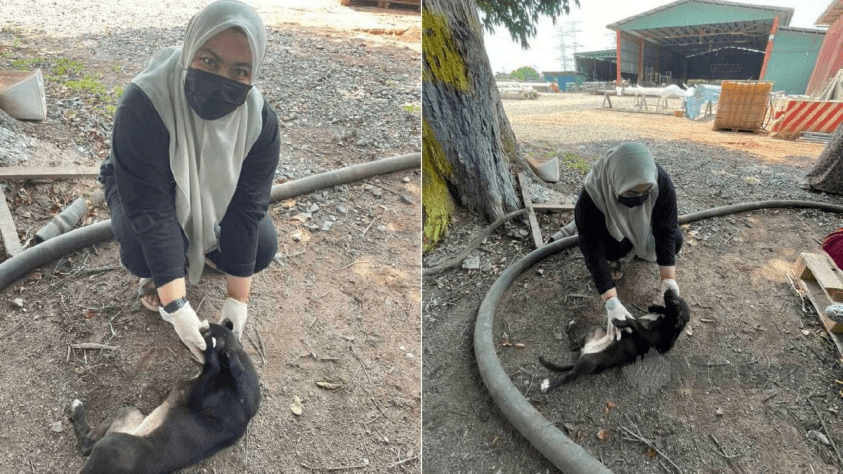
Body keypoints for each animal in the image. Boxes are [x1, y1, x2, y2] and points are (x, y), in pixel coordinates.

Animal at [69, 318, 260, 474]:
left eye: (205, 333)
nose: (189, 331)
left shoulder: (196, 394)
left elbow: (212, 365)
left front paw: (211, 348)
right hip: (128, 413)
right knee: (88, 441)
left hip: (112, 444)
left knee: (86, 444)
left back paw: (77, 409)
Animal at [540, 288, 692, 392]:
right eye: (677, 296)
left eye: (676, 301)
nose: (669, 289)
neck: (668, 323)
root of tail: (585, 352)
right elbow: (654, 311)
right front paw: (655, 306)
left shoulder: (650, 337)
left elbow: (634, 322)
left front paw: (620, 321)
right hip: (594, 330)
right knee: (574, 345)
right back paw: (571, 327)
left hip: (588, 362)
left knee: (570, 375)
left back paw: (549, 384)